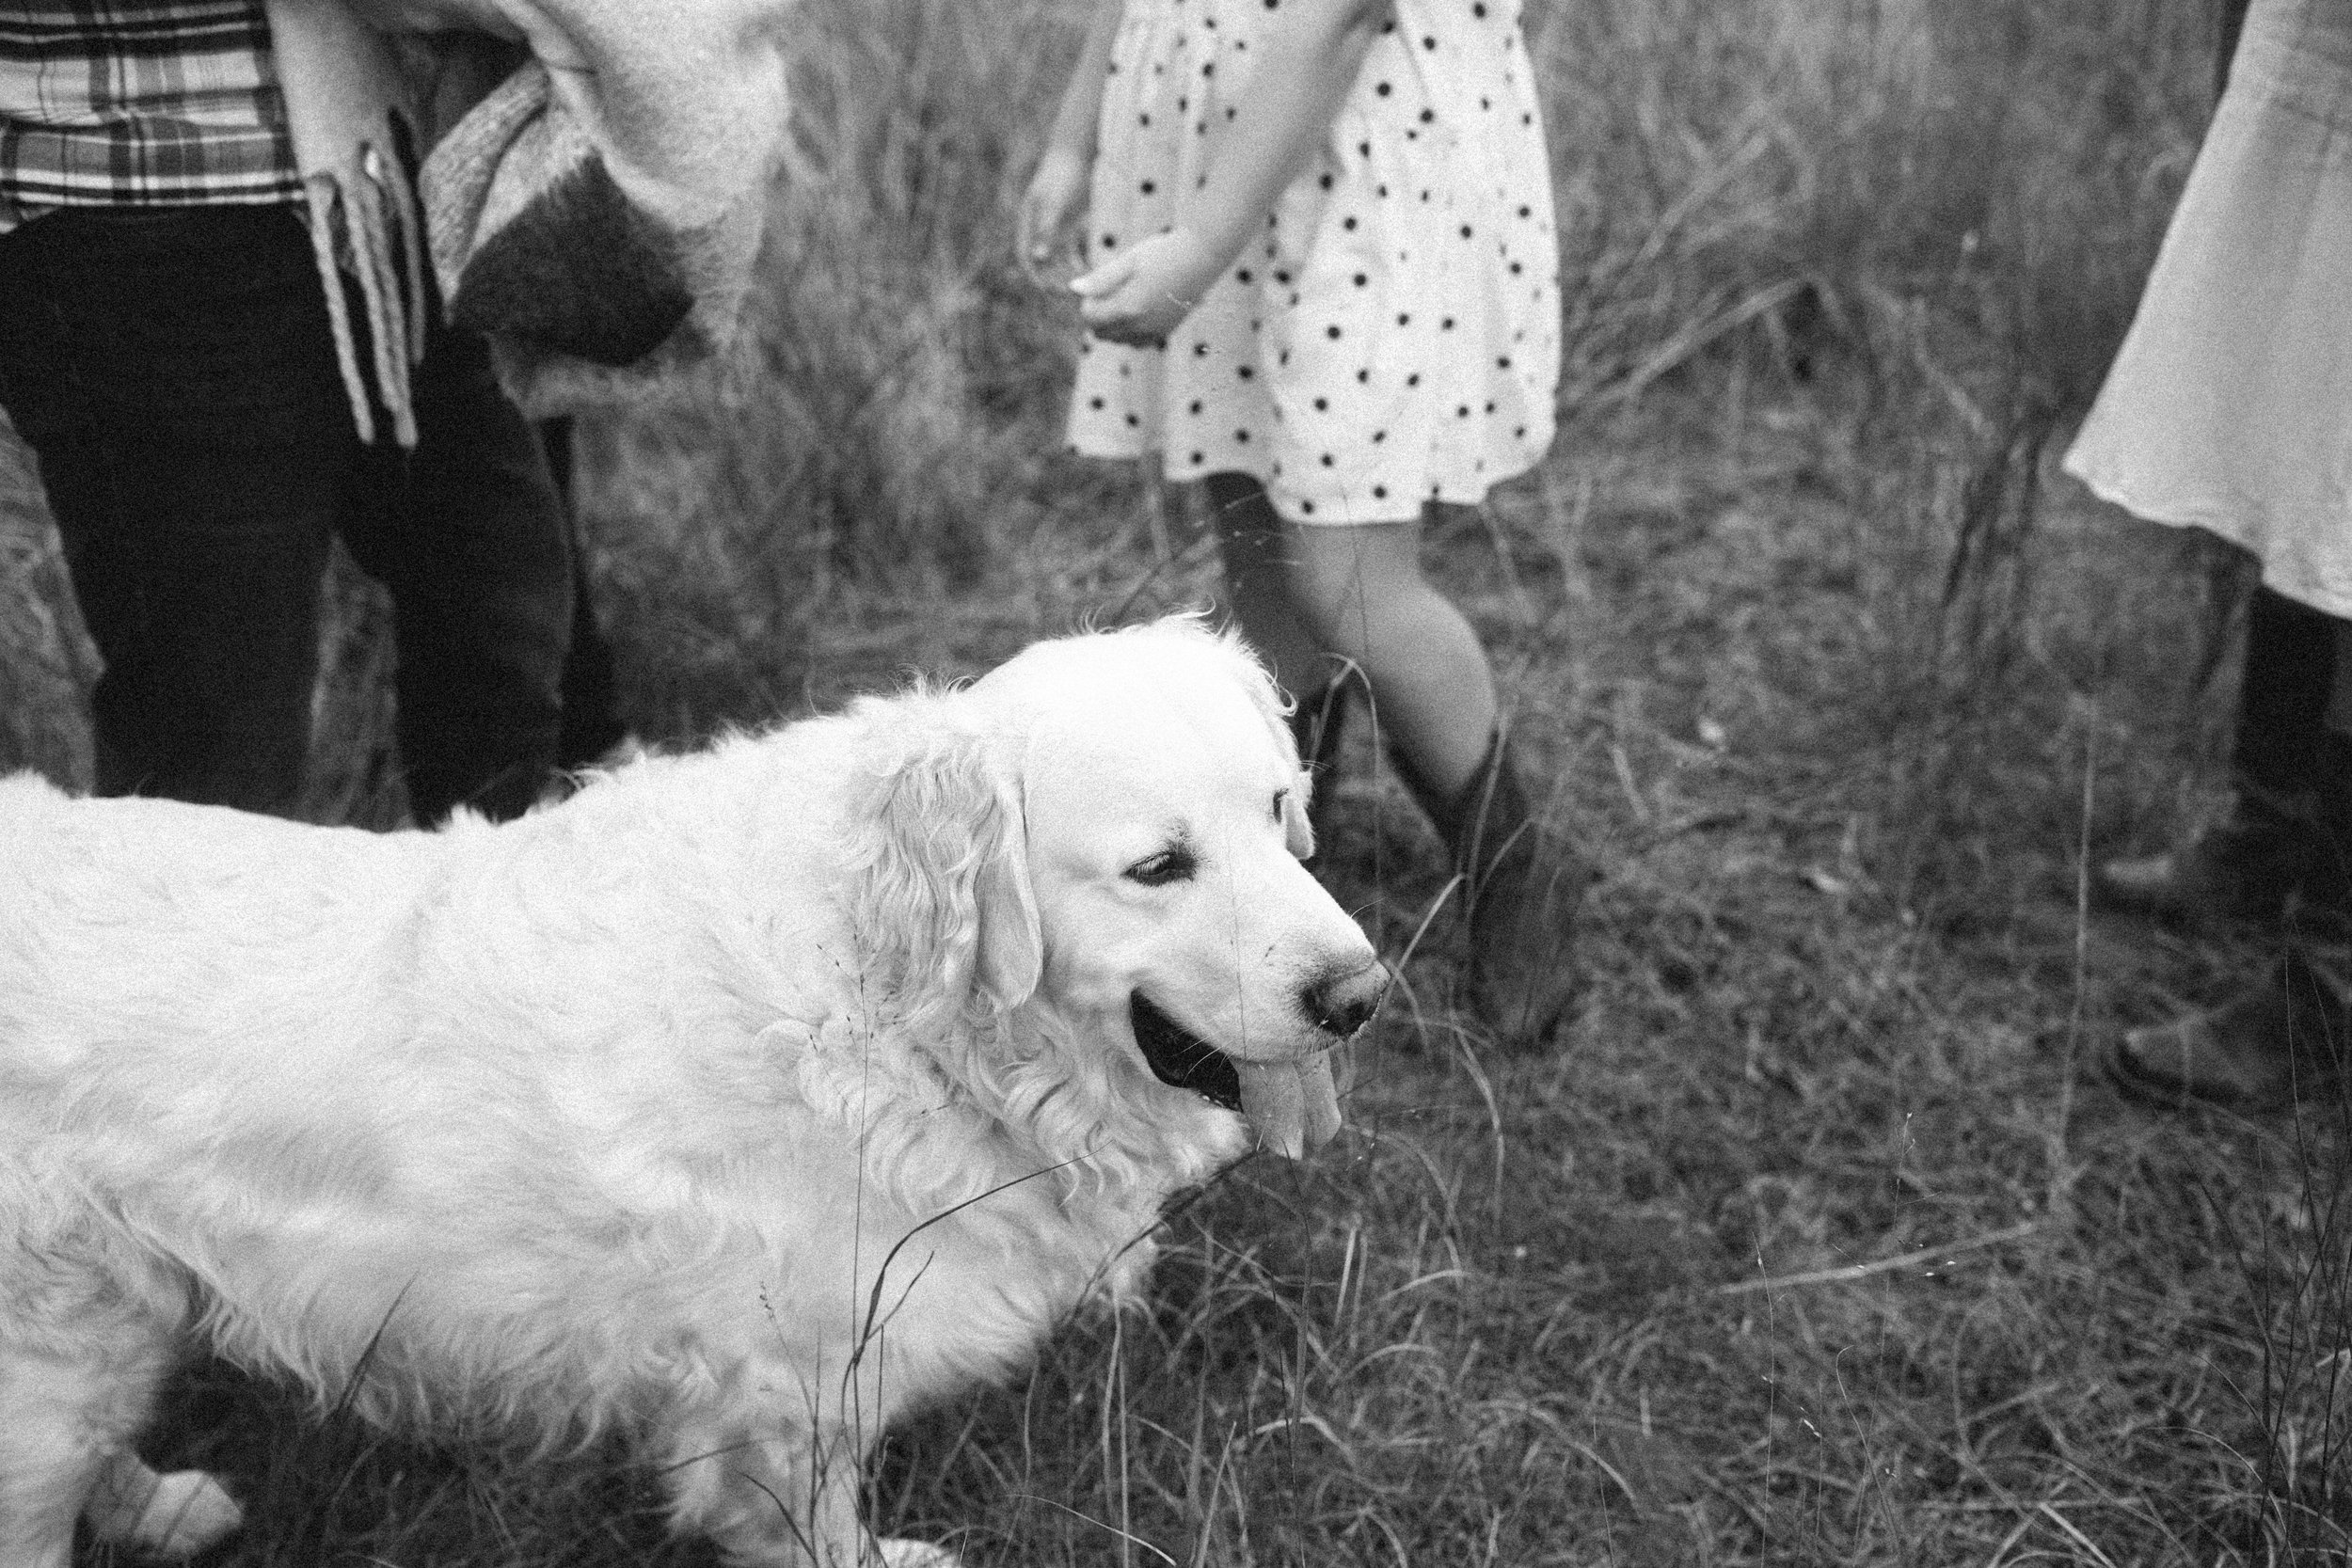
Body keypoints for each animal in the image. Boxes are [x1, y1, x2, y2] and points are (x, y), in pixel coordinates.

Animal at [0, 620, 1374, 1560]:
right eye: (1158, 866)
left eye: (1281, 806)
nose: (1360, 994)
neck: (897, 1003)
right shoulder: (796, 1385)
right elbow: (819, 1528)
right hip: (49, 1340)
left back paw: (161, 1504)